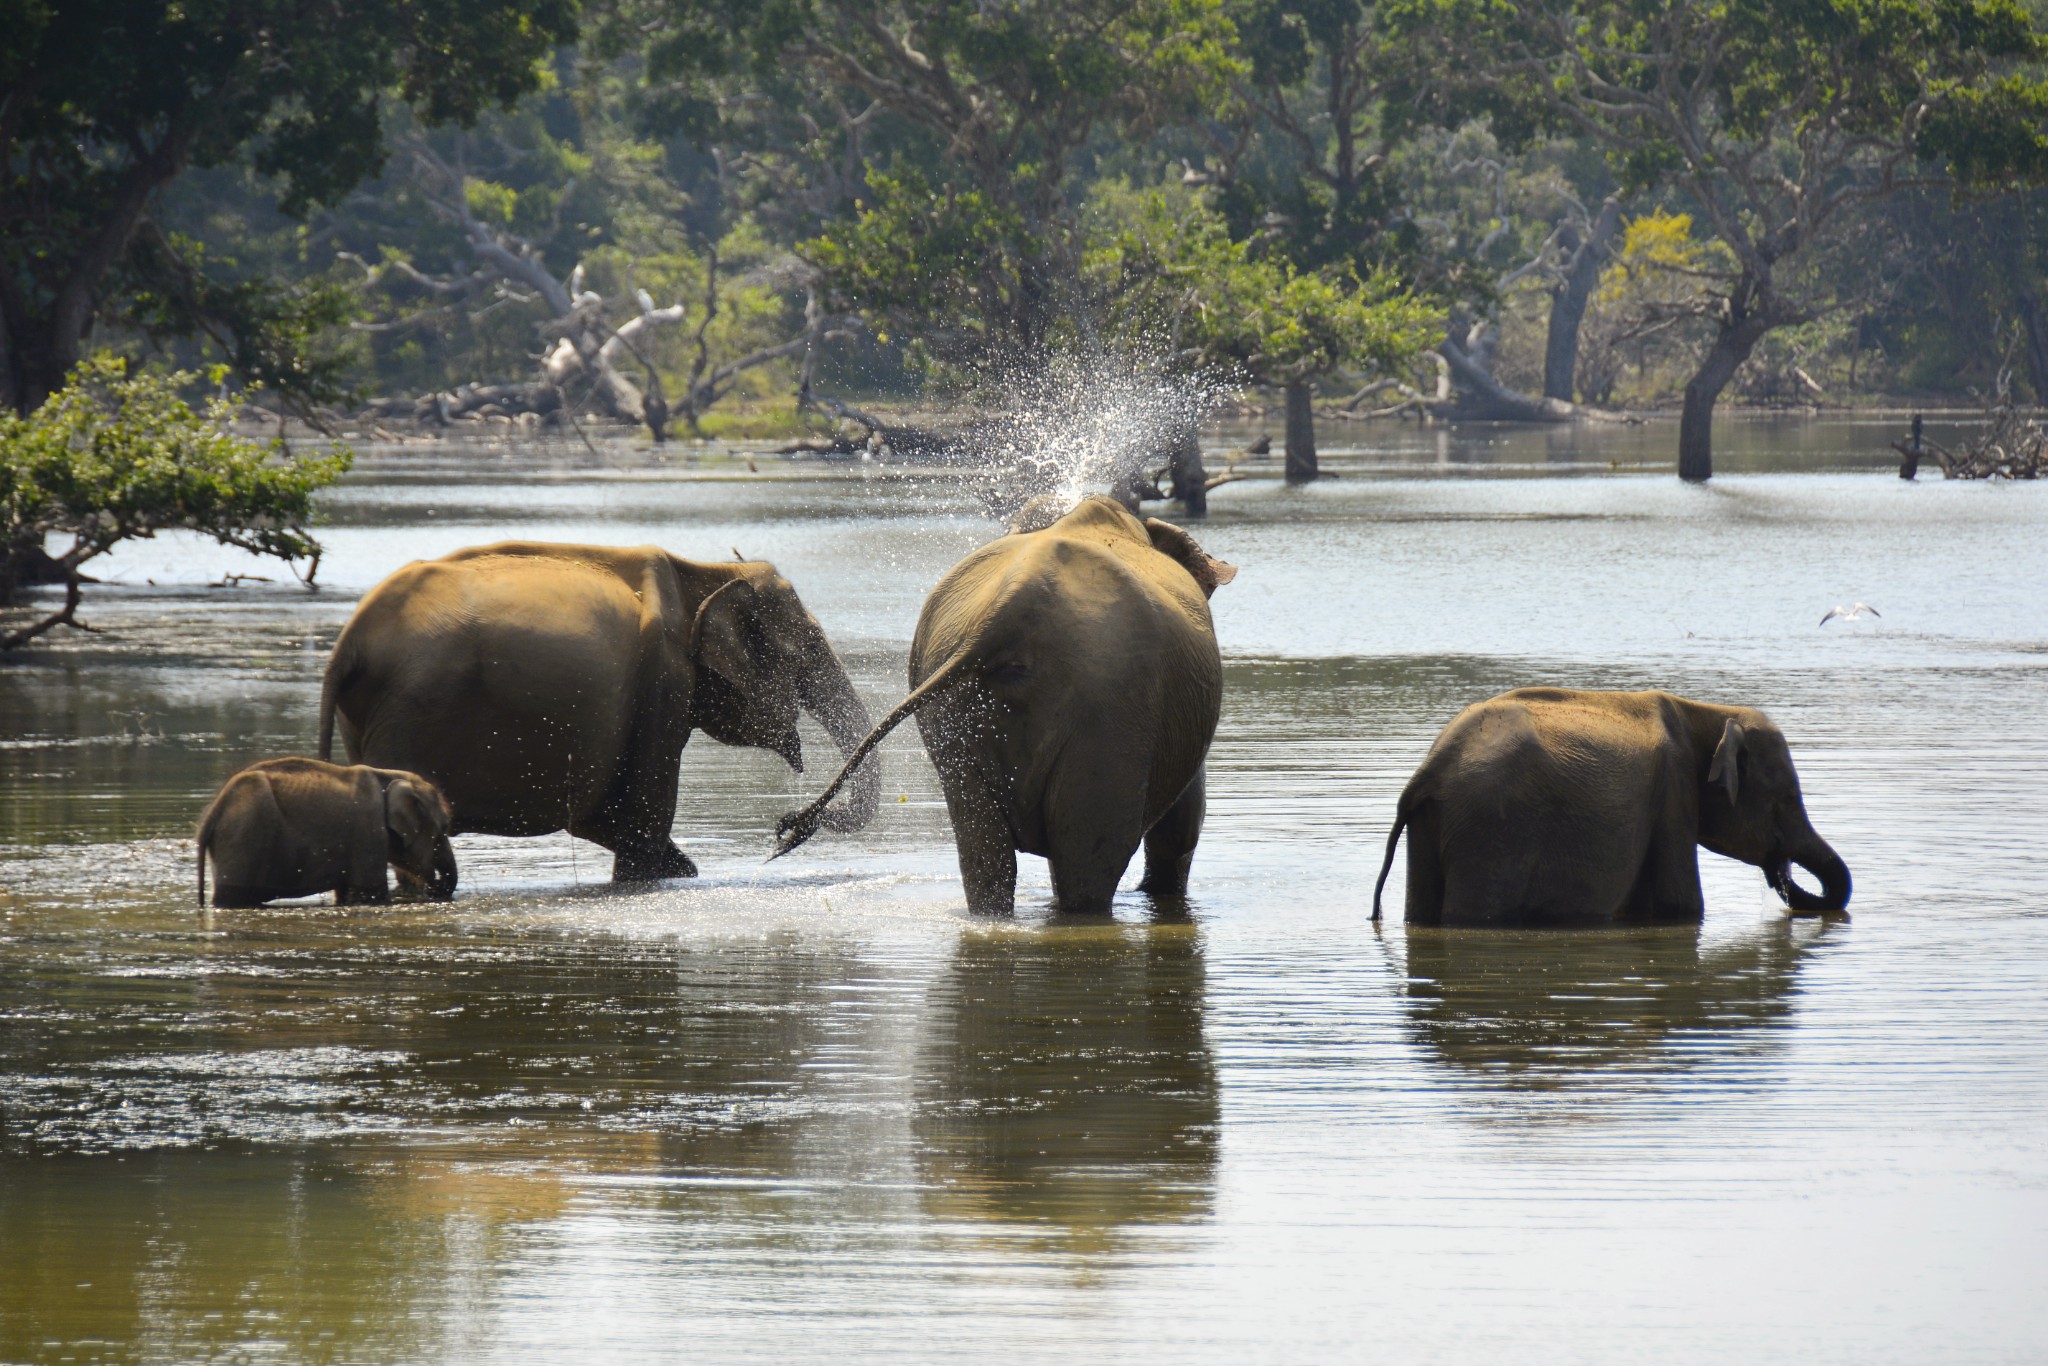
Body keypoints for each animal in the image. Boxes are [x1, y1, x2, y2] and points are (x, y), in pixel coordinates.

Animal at [196, 757, 456, 909]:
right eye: (444, 828)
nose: (436, 890)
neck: (388, 774)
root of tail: (214, 811)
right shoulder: (368, 832)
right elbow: (369, 893)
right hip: (244, 837)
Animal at [315, 540, 876, 880]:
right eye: (805, 653)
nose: (784, 828)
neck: (705, 571)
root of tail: (349, 643)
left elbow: (605, 820)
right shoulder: (662, 681)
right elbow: (638, 827)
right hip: (411, 713)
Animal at [774, 497, 1228, 913]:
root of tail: (1012, 604)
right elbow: (1184, 819)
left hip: (950, 708)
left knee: (984, 847)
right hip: (1114, 709)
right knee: (1089, 858)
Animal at [1376, 688, 1859, 925]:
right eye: (1788, 799)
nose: (1780, 870)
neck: (1705, 711)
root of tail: (1429, 770)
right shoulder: (1673, 790)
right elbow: (1681, 902)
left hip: (1438, 822)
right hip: (1492, 829)